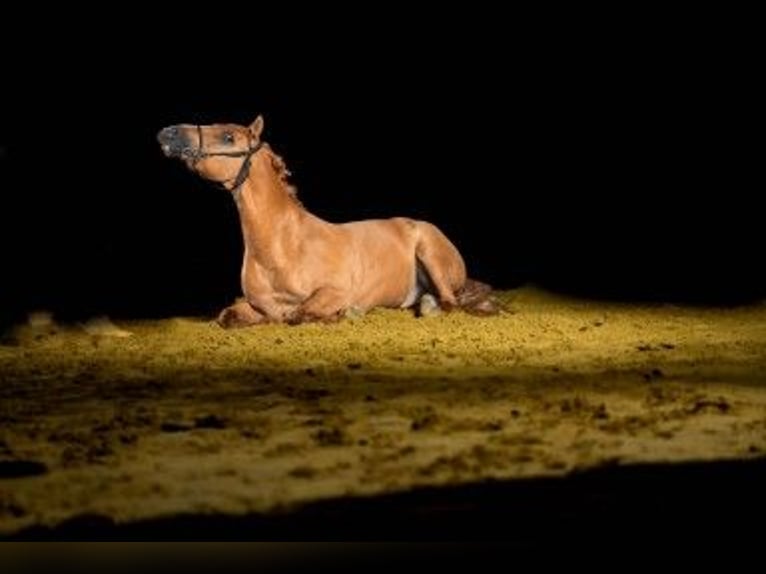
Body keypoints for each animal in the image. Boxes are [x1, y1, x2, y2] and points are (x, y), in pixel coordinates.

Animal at [157, 115, 498, 327]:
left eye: (228, 137)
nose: (168, 134)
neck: (283, 247)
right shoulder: (254, 304)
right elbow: (228, 316)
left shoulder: (333, 292)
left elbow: (299, 314)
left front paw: (344, 314)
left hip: (430, 253)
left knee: (449, 301)